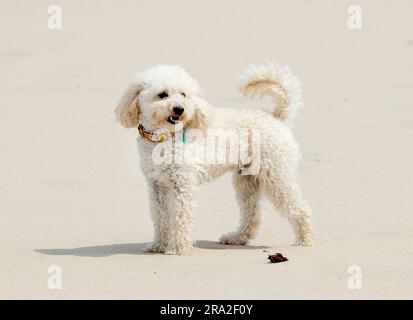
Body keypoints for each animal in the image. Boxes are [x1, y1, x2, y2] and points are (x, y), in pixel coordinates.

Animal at [114, 61, 314, 254]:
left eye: (184, 94)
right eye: (163, 95)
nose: (179, 109)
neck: (164, 138)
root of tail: (278, 118)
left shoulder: (182, 184)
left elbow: (180, 217)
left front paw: (178, 248)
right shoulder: (157, 186)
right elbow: (160, 217)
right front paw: (158, 245)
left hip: (277, 175)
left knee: (300, 209)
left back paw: (305, 240)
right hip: (246, 180)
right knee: (252, 214)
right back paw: (237, 237)